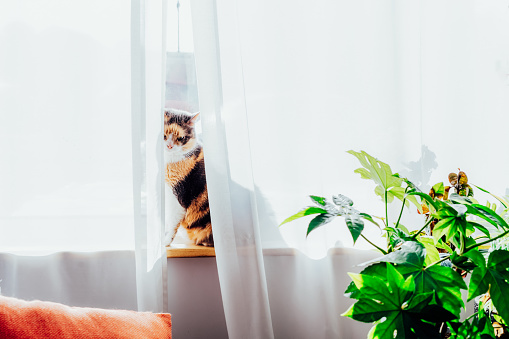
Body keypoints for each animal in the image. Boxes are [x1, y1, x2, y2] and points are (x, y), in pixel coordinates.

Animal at [162, 109, 211, 247]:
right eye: (164, 135)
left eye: (181, 138)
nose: (169, 146)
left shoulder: (178, 197)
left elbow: (172, 223)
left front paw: (165, 242)